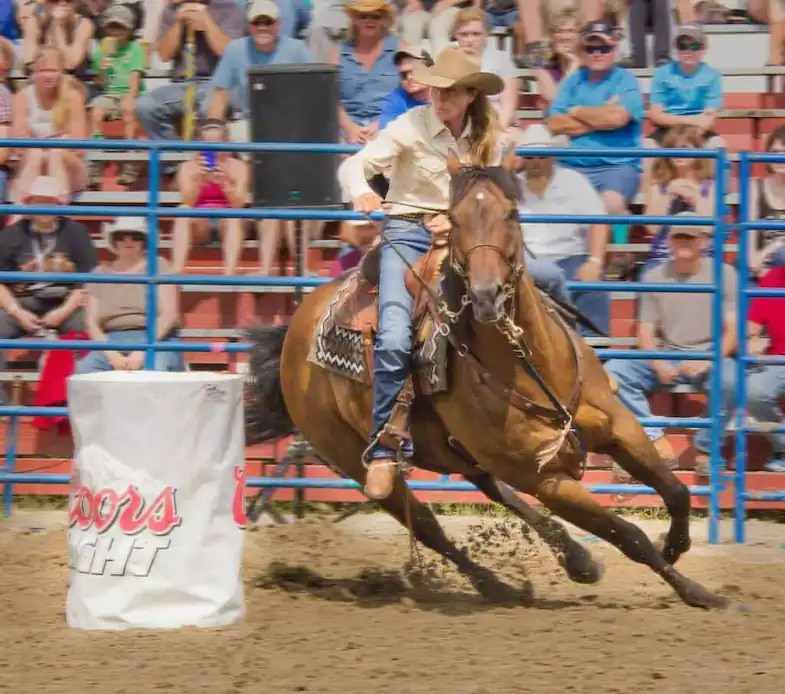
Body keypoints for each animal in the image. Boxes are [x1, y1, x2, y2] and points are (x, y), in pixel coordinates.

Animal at [245, 149, 737, 611]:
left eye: (512, 213)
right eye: (456, 218)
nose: (486, 296)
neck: (533, 364)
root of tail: (295, 328)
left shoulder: (617, 425)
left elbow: (676, 491)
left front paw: (677, 551)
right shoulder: (544, 479)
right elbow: (628, 535)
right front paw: (704, 594)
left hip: (460, 452)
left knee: (494, 490)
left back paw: (576, 559)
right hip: (352, 457)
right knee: (429, 526)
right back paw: (495, 584)